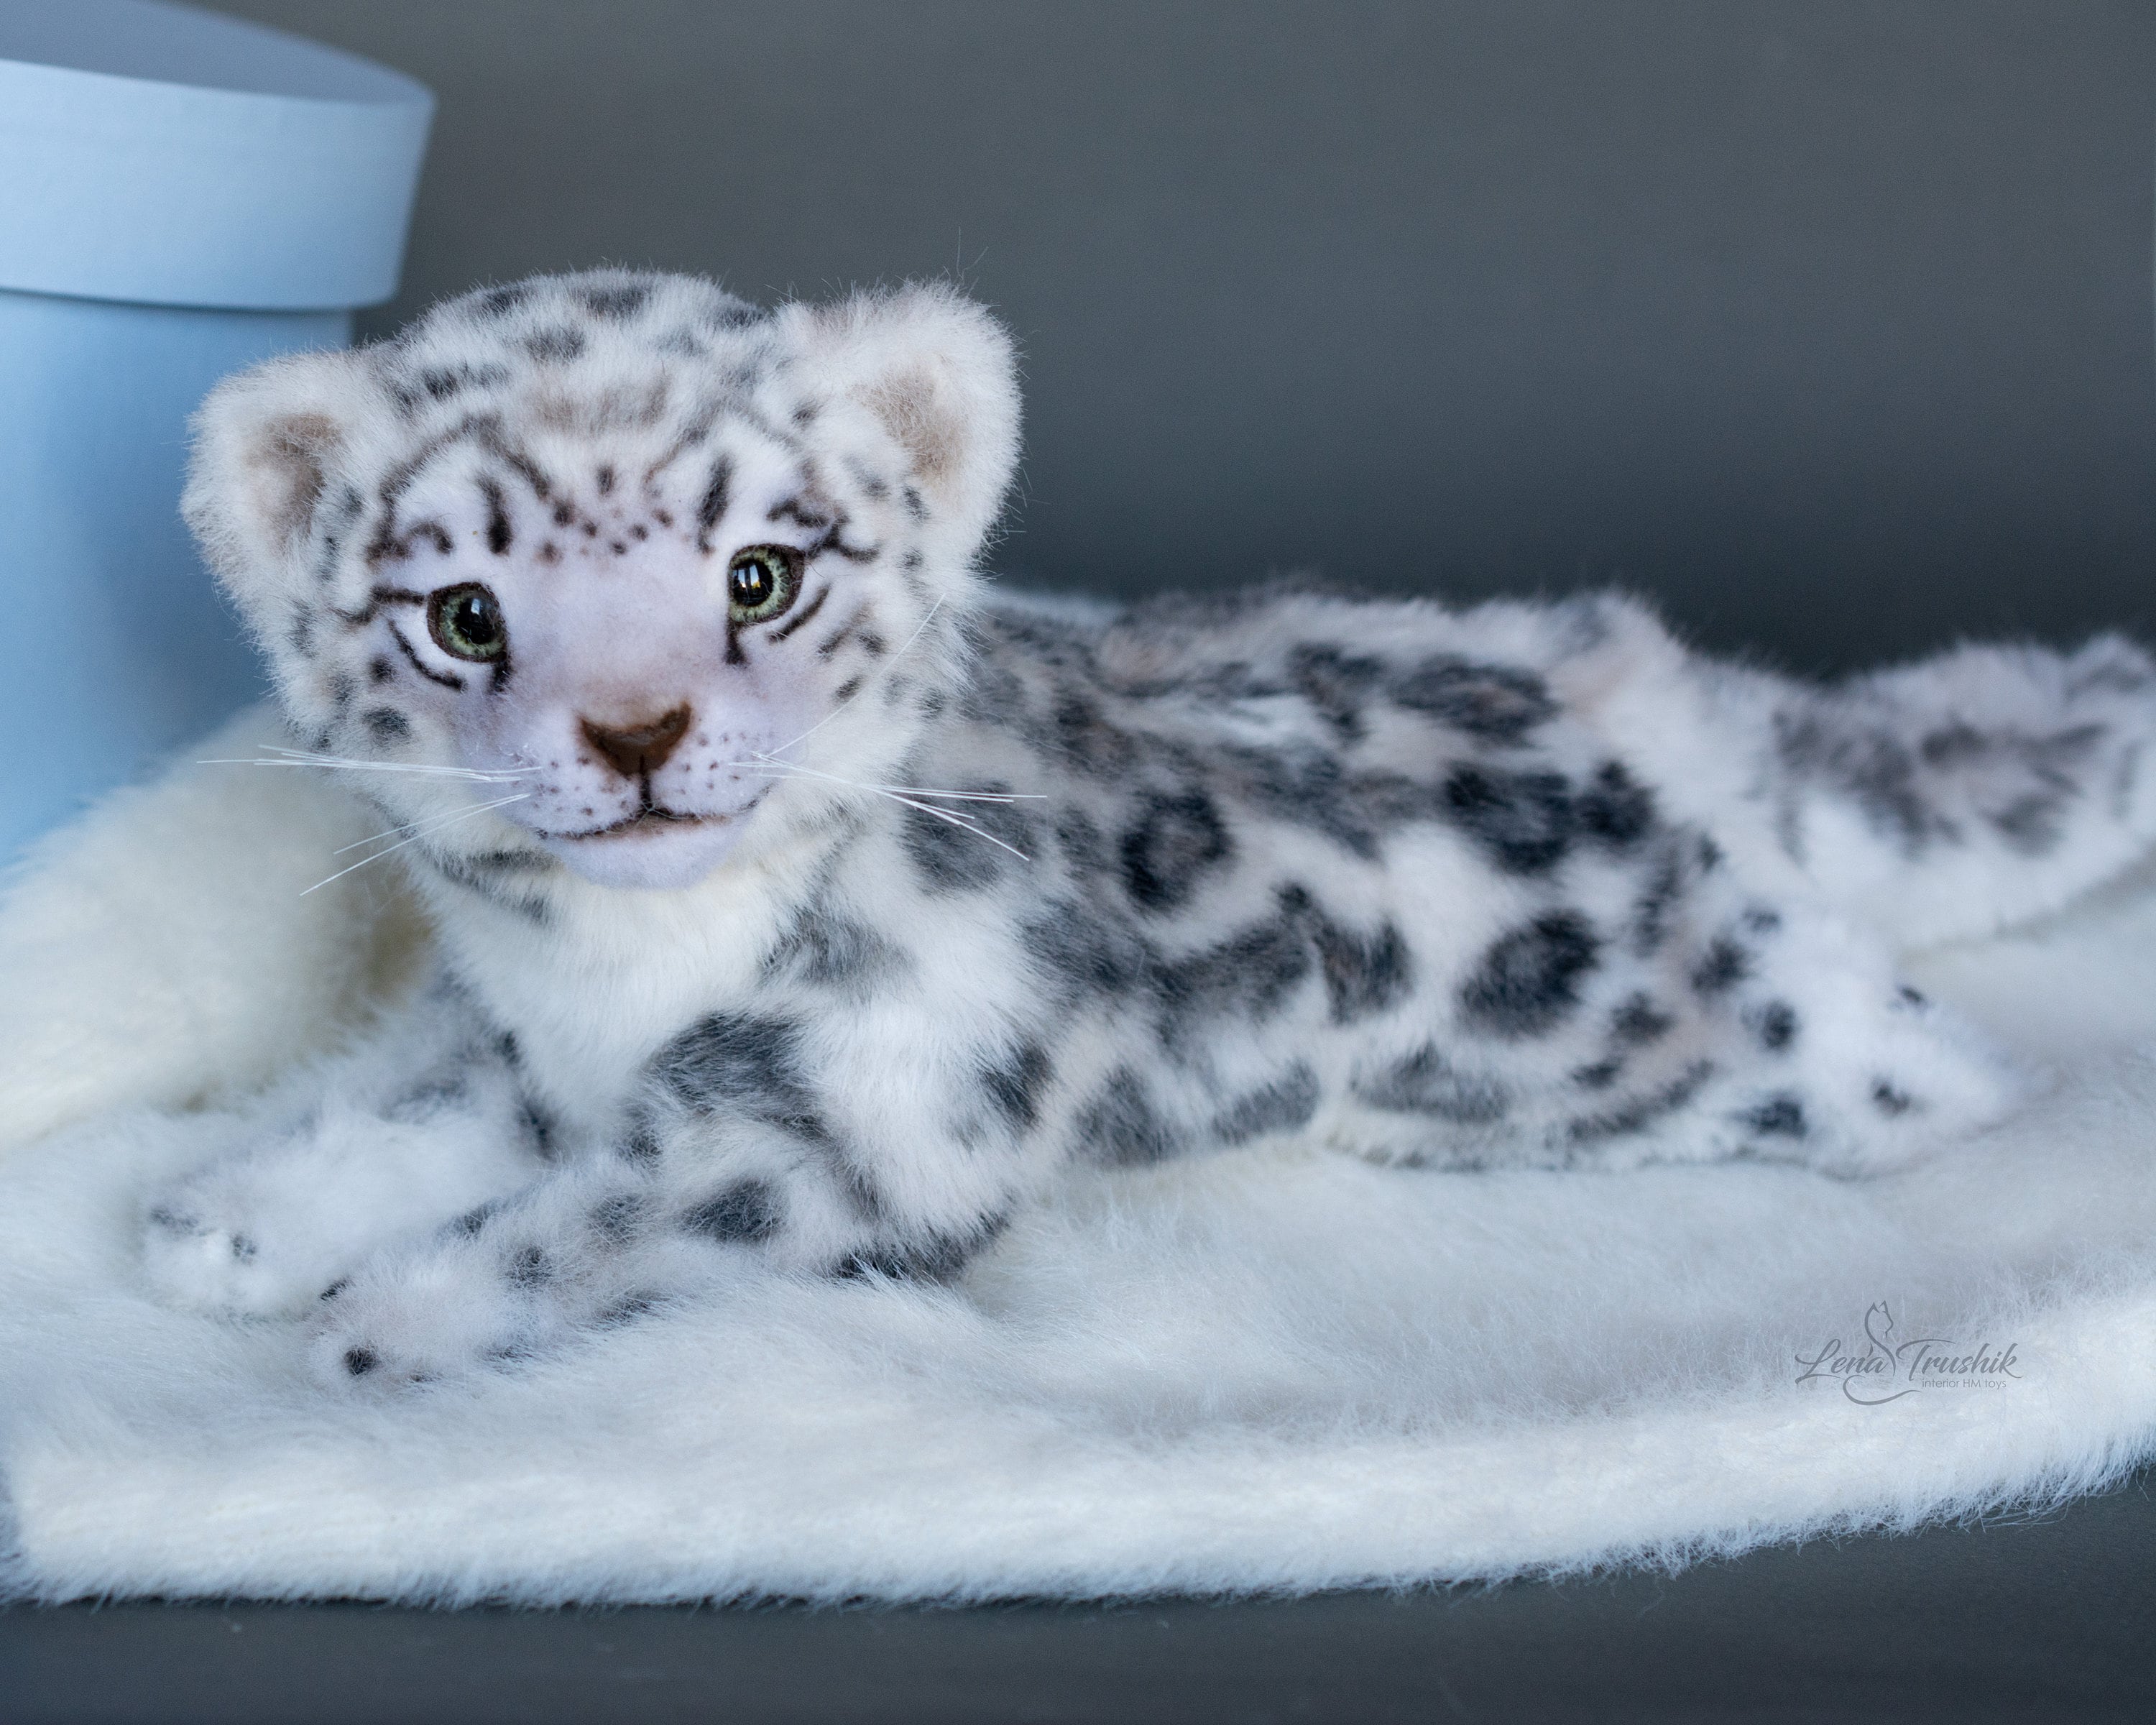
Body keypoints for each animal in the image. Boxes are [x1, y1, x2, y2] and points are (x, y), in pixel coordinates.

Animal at [142, 267, 2156, 1390]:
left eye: (760, 572)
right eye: (465, 612)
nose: (636, 735)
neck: (615, 970)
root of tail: (1624, 677)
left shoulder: (847, 1128)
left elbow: (591, 1233)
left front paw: (385, 1326)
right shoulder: (528, 1054)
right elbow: (412, 1116)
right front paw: (230, 1222)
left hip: (1679, 1043)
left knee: (1910, 1052)